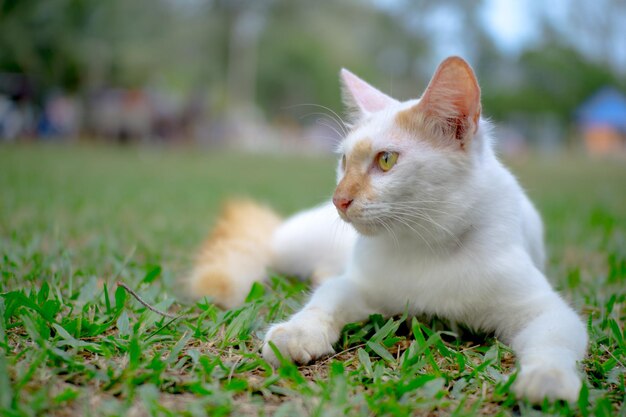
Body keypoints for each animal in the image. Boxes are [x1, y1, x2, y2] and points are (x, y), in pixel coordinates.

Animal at [185, 56, 584, 404]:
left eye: (386, 160)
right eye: (344, 160)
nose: (339, 199)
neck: (427, 244)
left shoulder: (544, 309)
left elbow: (555, 341)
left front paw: (547, 379)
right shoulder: (357, 285)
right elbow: (325, 301)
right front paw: (297, 332)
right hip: (291, 245)